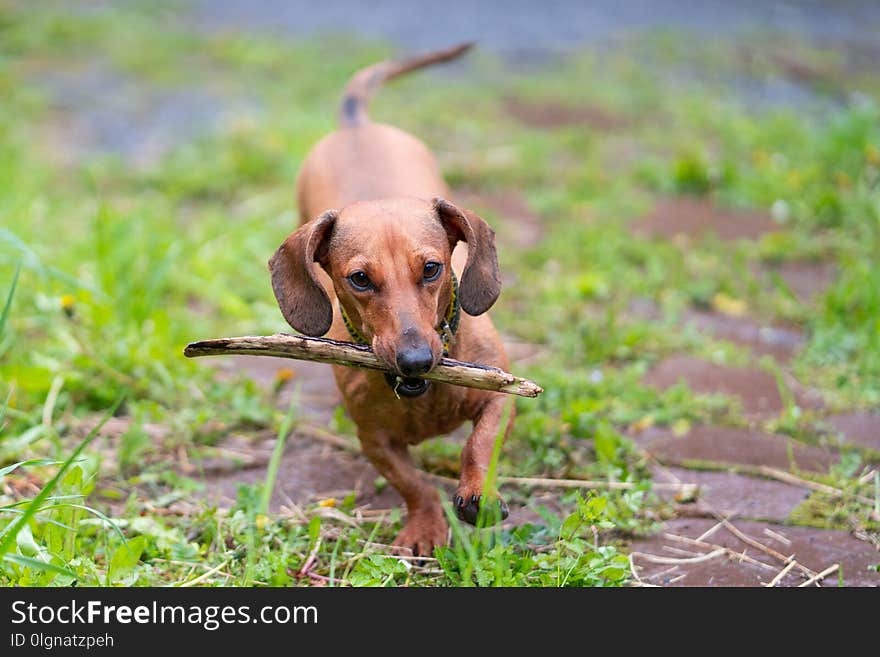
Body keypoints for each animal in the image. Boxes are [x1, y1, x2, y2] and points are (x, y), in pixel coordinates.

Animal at [272, 42, 512, 552]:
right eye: (360, 279)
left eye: (432, 269)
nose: (416, 360)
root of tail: (355, 126)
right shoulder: (374, 439)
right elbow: (413, 483)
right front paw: (425, 525)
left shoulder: (501, 397)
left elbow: (479, 444)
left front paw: (477, 493)